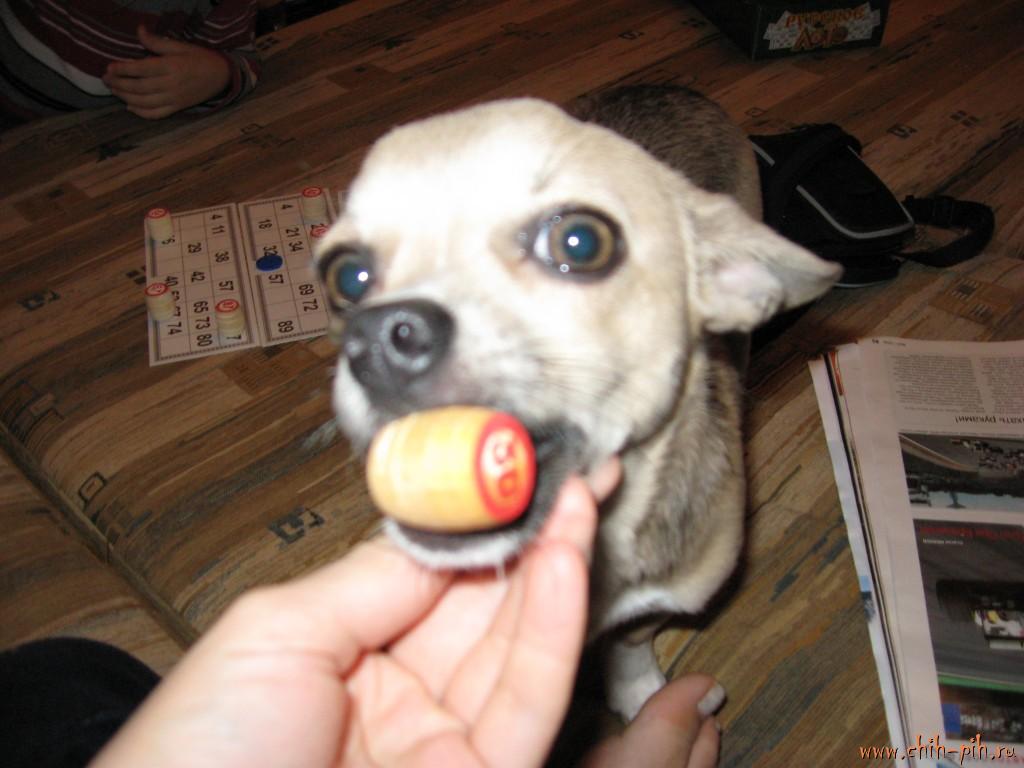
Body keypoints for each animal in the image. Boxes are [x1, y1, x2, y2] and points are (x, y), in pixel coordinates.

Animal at [315, 84, 840, 720]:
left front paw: (638, 691)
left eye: (581, 242)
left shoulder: (659, 600)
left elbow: (632, 638)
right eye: (345, 275)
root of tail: (676, 87)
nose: (374, 339)